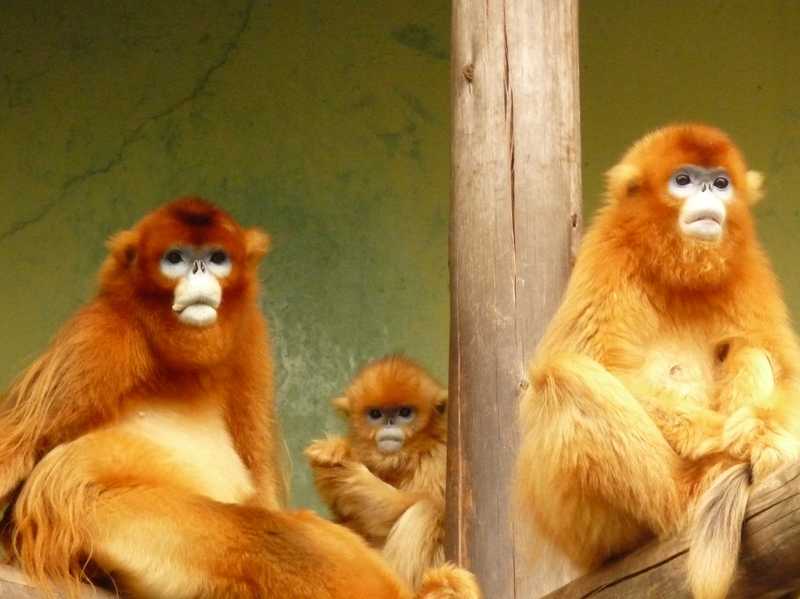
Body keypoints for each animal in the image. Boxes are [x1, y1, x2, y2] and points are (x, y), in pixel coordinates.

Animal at [304, 358, 454, 592]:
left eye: (404, 412)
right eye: (376, 414)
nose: (389, 423)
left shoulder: (439, 456)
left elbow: (412, 507)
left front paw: (344, 471)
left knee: (425, 511)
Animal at [512, 125, 800, 599]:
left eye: (721, 182)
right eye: (683, 180)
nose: (707, 192)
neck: (677, 268)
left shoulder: (748, 267)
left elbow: (786, 367)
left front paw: (763, 434)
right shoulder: (606, 250)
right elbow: (603, 364)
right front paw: (726, 435)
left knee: (747, 348)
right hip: (589, 527)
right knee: (566, 375)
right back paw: (699, 486)